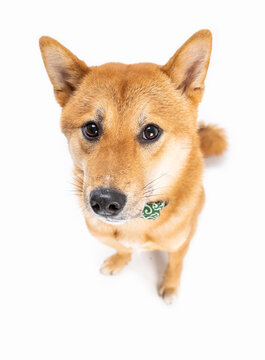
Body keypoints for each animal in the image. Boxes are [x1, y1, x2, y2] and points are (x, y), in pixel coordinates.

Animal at [39, 29, 227, 302]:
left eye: (151, 131)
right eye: (91, 128)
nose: (105, 201)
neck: (139, 222)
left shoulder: (180, 243)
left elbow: (176, 263)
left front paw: (170, 285)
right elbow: (123, 248)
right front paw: (119, 260)